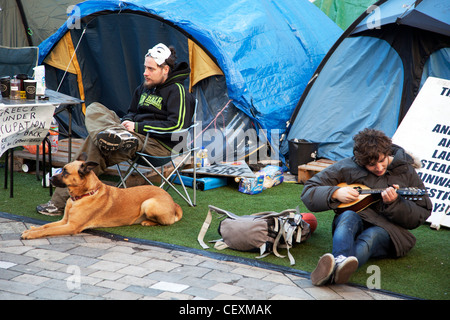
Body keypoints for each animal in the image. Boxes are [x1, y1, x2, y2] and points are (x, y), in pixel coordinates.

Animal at [21, 153, 183, 240]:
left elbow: (47, 230)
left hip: (148, 204)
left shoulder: (71, 226)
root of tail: (173, 202)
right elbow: (46, 226)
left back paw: (148, 222)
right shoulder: (64, 221)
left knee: (167, 222)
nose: (50, 178)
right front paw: (32, 230)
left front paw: (32, 234)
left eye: (65, 172)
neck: (83, 195)